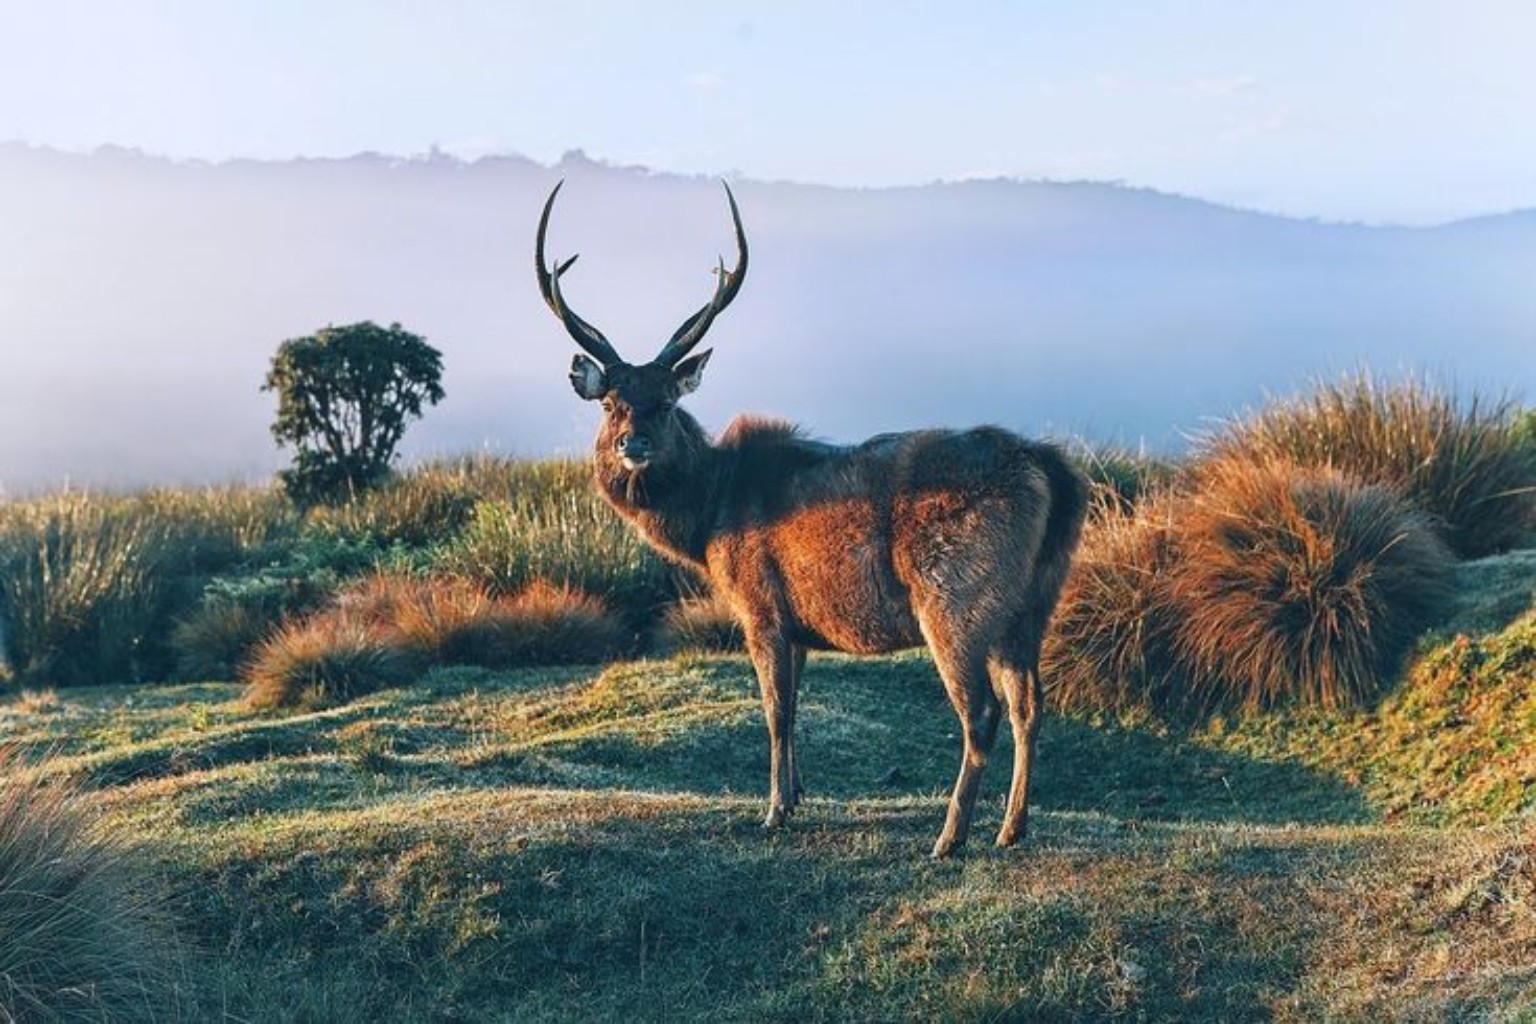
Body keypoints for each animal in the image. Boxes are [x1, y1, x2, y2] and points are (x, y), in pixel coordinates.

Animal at [534, 181, 1088, 858]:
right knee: (1029, 703)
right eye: (611, 402)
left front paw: (773, 810)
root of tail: (1053, 472)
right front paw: (797, 796)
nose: (631, 443)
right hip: (1034, 601)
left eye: (665, 402)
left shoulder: (759, 603)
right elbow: (795, 707)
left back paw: (950, 836)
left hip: (956, 597)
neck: (709, 520)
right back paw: (1013, 827)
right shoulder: (798, 623)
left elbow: (775, 710)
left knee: (981, 711)